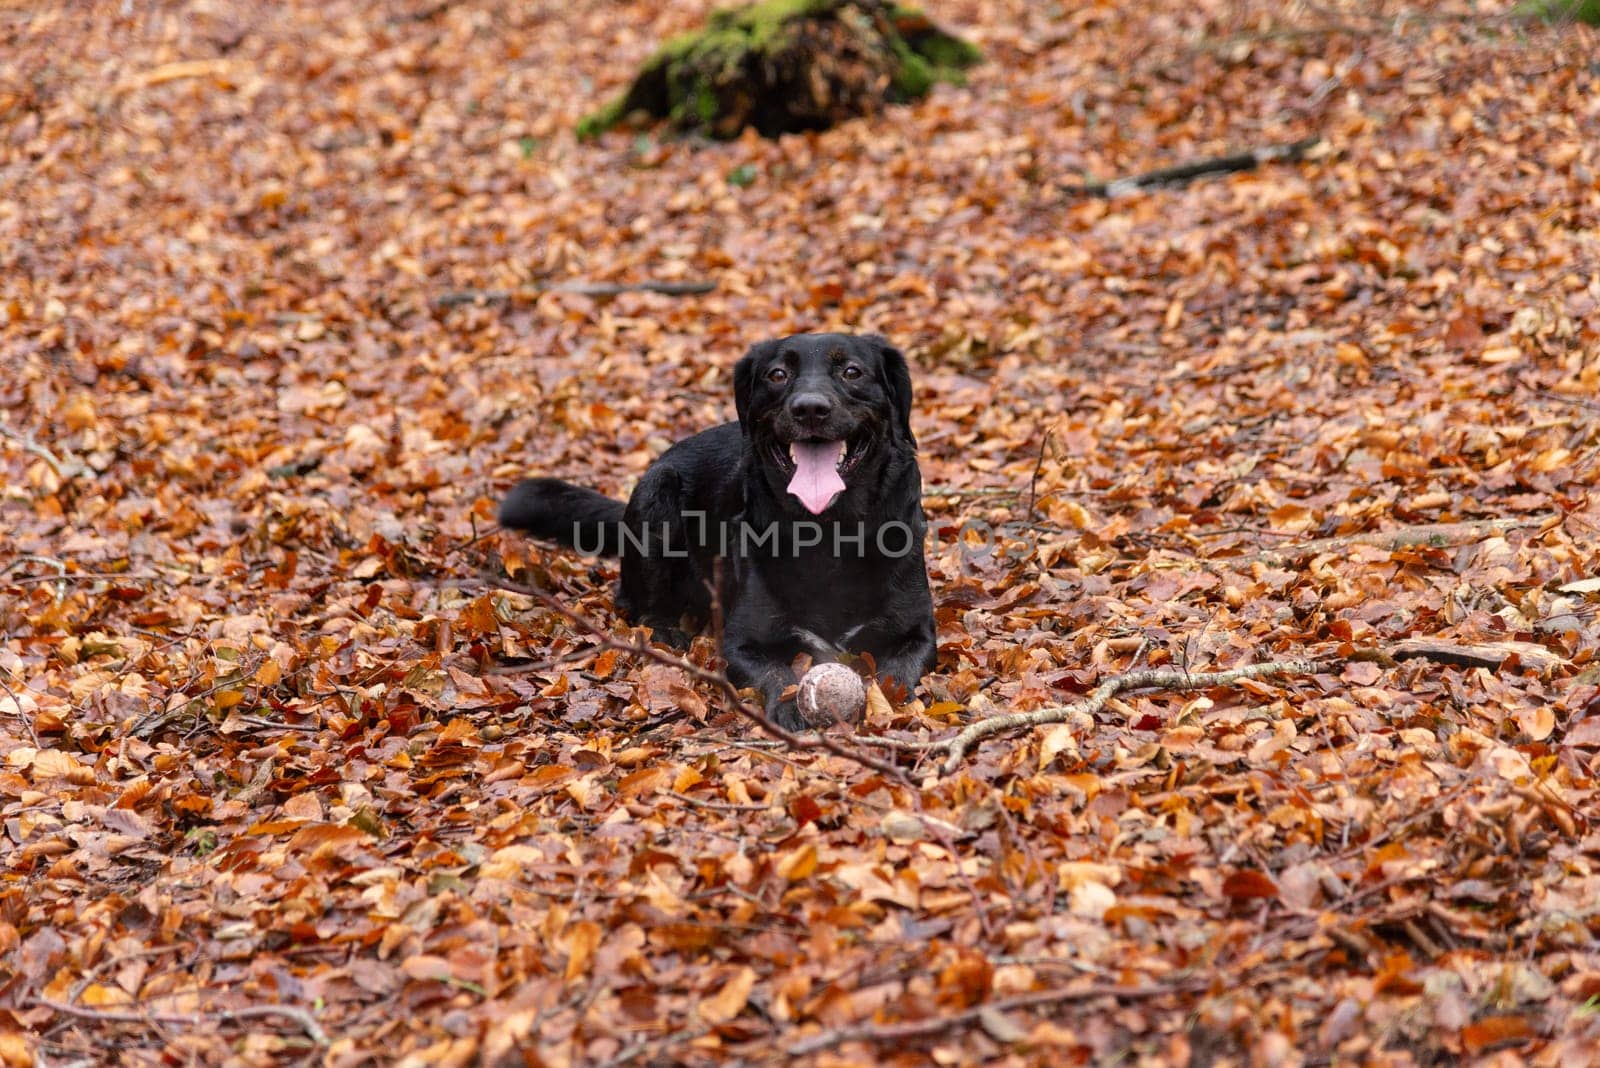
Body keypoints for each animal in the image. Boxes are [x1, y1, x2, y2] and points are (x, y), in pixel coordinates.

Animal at [502, 334, 934, 729]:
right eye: (778, 374)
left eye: (852, 372)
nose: (810, 408)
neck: (830, 530)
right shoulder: (742, 642)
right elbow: (776, 671)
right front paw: (790, 705)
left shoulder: (918, 635)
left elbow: (897, 675)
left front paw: (887, 706)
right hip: (657, 494)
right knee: (635, 603)